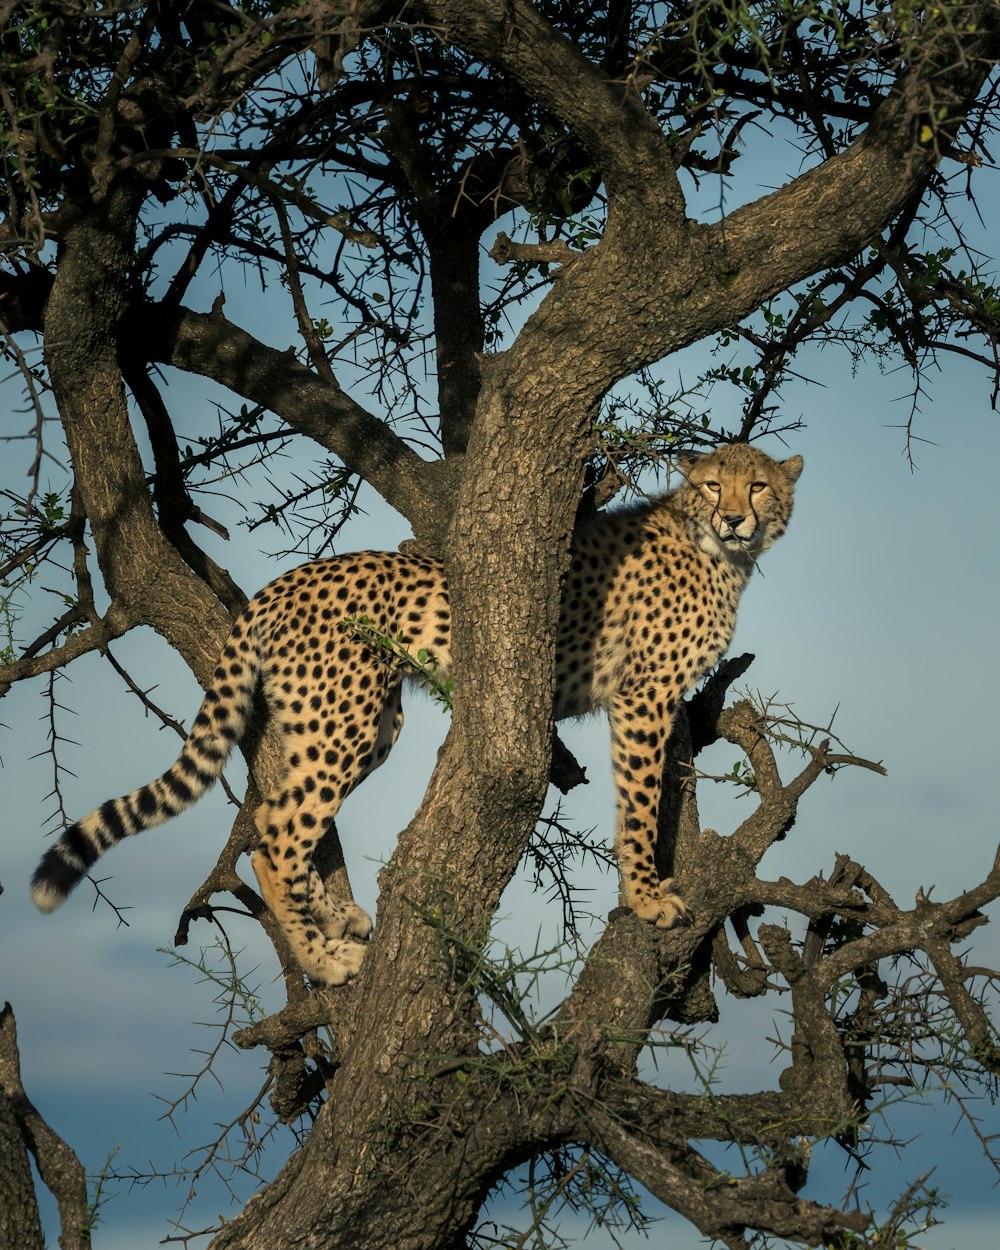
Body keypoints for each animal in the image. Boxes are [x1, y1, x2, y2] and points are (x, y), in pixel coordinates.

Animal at [29, 447, 805, 985]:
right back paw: (324, 960)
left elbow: (666, 788)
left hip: (366, 726)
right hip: (343, 719)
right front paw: (646, 899)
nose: (735, 515)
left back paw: (333, 917)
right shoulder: (642, 697)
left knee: (280, 813)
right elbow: (639, 805)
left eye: (759, 484)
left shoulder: (658, 699)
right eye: (713, 484)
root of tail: (287, 579)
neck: (715, 550)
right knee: (273, 837)